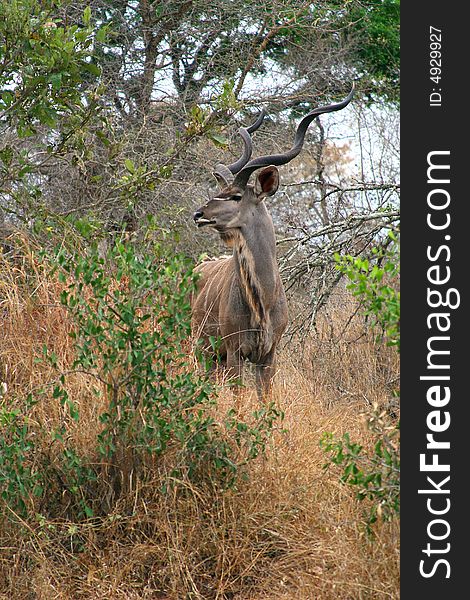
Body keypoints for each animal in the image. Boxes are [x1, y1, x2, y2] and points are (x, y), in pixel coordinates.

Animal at [190, 85, 352, 398]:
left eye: (235, 196)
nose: (198, 214)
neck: (262, 300)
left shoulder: (268, 355)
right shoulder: (235, 351)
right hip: (201, 348)